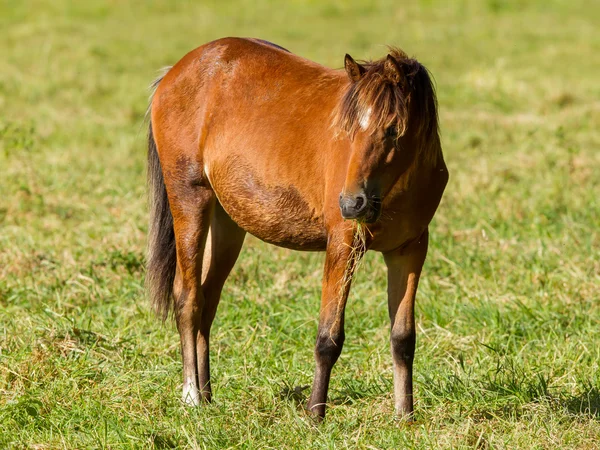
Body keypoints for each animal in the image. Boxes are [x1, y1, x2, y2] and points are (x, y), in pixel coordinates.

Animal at [144, 37, 446, 420]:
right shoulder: (344, 244)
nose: (352, 204)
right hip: (189, 198)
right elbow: (329, 337)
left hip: (227, 221)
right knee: (187, 297)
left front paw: (404, 416)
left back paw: (208, 394)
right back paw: (192, 395)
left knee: (208, 299)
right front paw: (315, 415)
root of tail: (176, 72)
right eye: (347, 130)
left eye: (393, 130)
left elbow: (403, 337)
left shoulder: (409, 250)